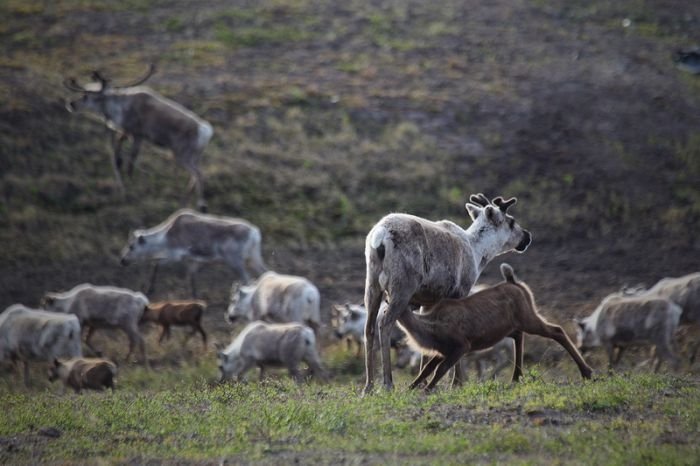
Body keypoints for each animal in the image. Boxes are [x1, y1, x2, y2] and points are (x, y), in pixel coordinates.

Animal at [400, 264, 592, 392]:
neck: (430, 332)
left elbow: (441, 368)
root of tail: (515, 282)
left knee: (556, 330)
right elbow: (427, 368)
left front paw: (427, 388)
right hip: (513, 323)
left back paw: (586, 372)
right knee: (518, 336)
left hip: (528, 315)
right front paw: (411, 387)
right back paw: (516, 377)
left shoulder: (461, 344)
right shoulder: (444, 350)